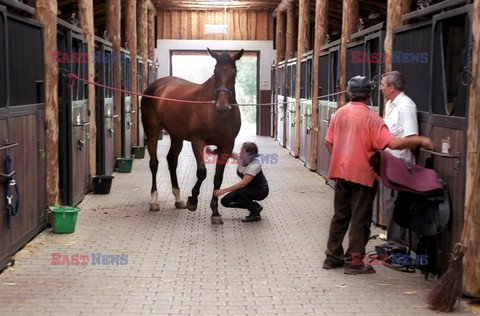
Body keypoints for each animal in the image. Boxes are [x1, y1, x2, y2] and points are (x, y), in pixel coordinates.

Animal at [141, 47, 242, 225]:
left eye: (234, 73)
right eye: (215, 72)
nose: (222, 106)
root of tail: (155, 86)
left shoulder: (227, 145)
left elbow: (218, 177)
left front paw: (215, 212)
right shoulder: (197, 141)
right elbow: (202, 172)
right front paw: (193, 201)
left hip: (176, 135)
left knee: (172, 161)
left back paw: (178, 198)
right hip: (152, 131)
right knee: (154, 163)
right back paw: (154, 201)